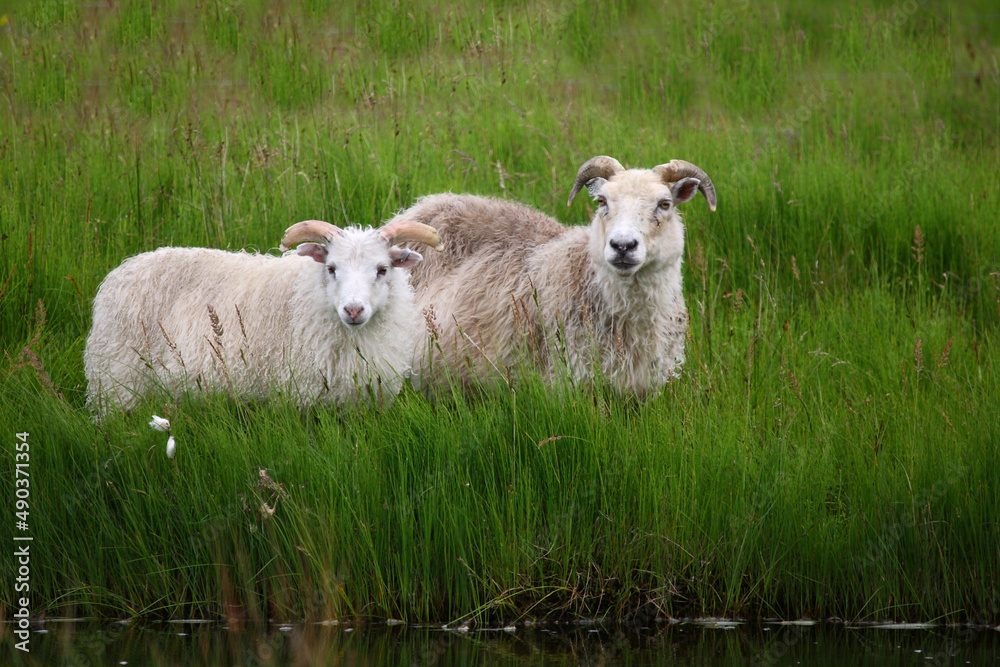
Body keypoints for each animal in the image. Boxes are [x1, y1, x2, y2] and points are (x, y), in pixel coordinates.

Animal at [83, 219, 442, 415]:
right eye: (331, 268)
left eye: (382, 269)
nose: (353, 310)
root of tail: (124, 269)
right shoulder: (301, 398)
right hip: (116, 381)